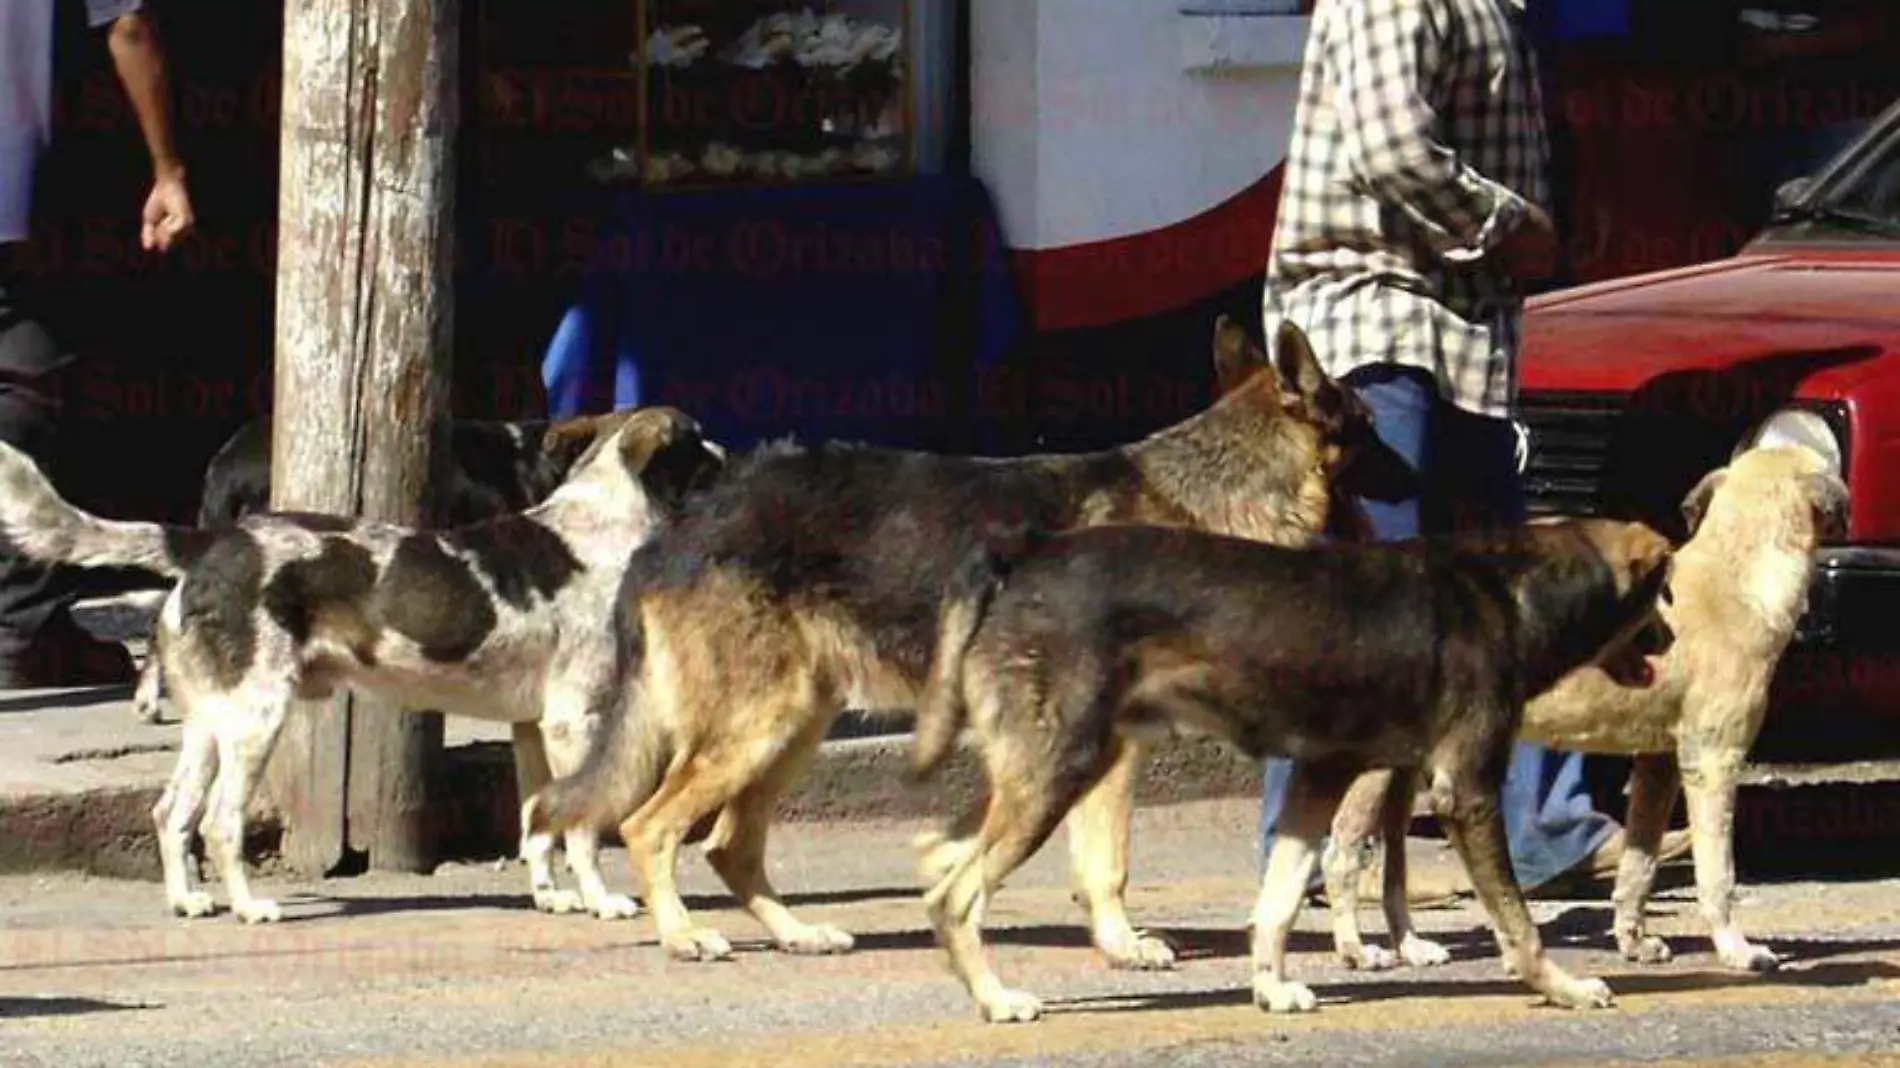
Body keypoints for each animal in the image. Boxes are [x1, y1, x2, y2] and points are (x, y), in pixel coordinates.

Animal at [0, 402, 722, 919]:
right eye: (700, 444)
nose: (737, 450)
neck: (600, 524)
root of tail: (211, 543)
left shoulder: (531, 727)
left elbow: (537, 818)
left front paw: (551, 895)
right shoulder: (577, 721)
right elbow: (581, 828)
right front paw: (602, 900)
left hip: (211, 723)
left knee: (171, 812)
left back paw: (188, 901)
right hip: (257, 720)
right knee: (220, 821)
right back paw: (252, 908)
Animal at [520, 315, 1413, 965]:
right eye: (1370, 424)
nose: (1417, 477)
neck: (1210, 493)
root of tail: (683, 526)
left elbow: (1093, 861)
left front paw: (1113, 943)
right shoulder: (1115, 751)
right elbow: (1111, 862)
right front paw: (1125, 946)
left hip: (790, 731)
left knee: (731, 846)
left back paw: (795, 934)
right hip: (756, 729)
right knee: (653, 826)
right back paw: (683, 935)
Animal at [912, 516, 1672, 1026]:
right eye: (1660, 597)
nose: (1673, 640)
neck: (1514, 590)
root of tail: (1027, 551)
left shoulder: (1321, 776)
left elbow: (1277, 903)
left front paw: (1270, 987)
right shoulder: (1467, 792)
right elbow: (1519, 922)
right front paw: (1562, 987)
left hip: (1047, 766)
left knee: (943, 856)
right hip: (1059, 769)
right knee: (957, 896)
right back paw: (993, 997)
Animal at [1322, 440, 1839, 972]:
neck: (1739, 572)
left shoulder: (1658, 767)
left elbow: (1639, 864)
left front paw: (1634, 939)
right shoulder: (1714, 763)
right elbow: (1719, 874)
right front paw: (1737, 949)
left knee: (1392, 863)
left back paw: (1410, 944)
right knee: (1340, 853)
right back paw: (1354, 947)